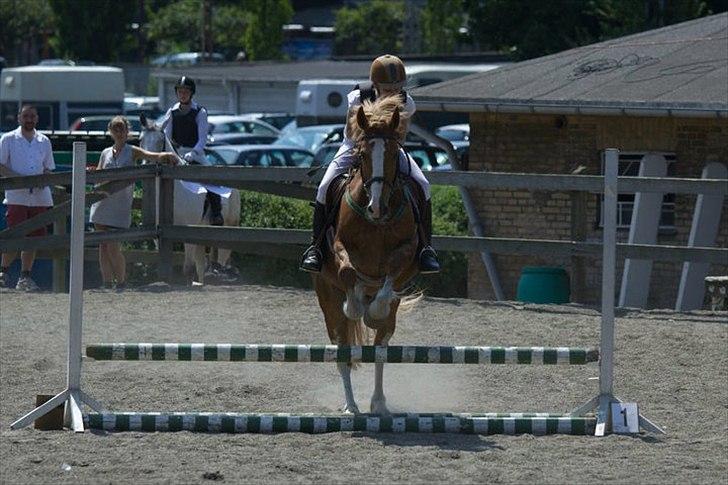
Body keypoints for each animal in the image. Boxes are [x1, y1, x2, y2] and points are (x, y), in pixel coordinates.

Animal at [141, 116, 243, 286]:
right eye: (140, 139)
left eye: (160, 140)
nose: (147, 164)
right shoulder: (160, 238)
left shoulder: (187, 233)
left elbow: (187, 269)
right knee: (201, 266)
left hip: (229, 226)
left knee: (222, 256)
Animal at [312, 96, 420, 414]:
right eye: (361, 154)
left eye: (394, 153)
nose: (376, 207)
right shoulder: (338, 247)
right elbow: (348, 272)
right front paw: (355, 306)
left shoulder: (408, 250)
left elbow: (391, 275)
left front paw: (374, 311)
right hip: (327, 298)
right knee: (342, 351)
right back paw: (350, 405)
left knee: (380, 350)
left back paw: (378, 403)